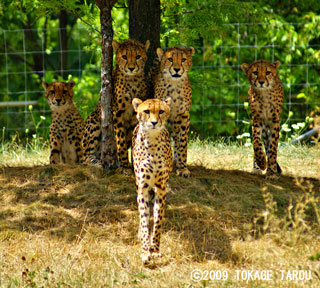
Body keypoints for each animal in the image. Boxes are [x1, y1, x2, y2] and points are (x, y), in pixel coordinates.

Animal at [132, 98, 174, 264]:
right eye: (147, 111)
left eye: (161, 111)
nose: (154, 122)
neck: (153, 142)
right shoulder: (142, 188)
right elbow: (144, 220)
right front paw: (145, 251)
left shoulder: (161, 188)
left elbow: (157, 220)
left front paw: (154, 249)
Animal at [152, 46, 195, 178]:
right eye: (170, 59)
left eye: (183, 59)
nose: (176, 69)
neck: (175, 84)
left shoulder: (183, 115)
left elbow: (182, 143)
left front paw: (182, 168)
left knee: (176, 137)